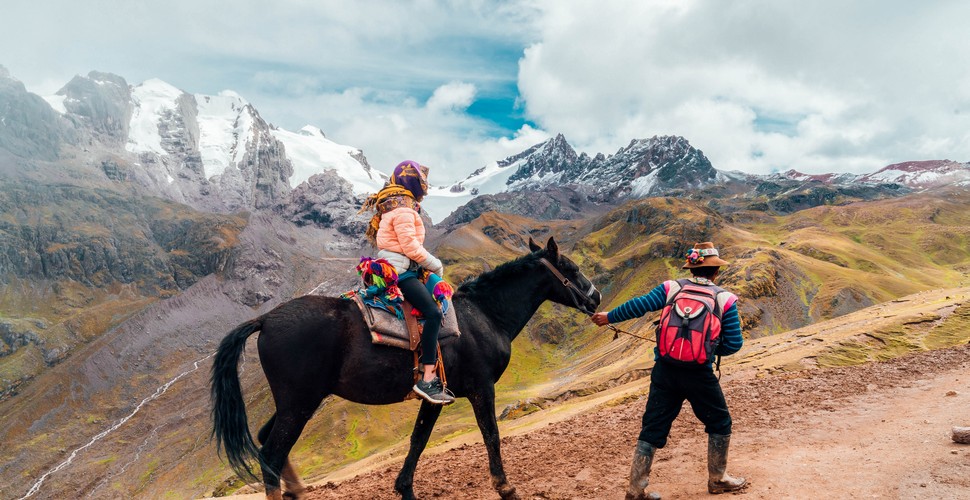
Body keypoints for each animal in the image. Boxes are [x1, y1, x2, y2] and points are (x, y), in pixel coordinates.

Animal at [212, 236, 596, 498]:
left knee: (267, 441)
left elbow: (418, 440)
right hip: (299, 403)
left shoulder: (436, 396)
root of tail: (265, 319)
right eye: (572, 269)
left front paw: (404, 488)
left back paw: (297, 490)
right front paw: (505, 486)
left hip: (296, 402)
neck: (485, 315)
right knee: (271, 453)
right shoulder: (481, 388)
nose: (595, 298)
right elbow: (491, 434)